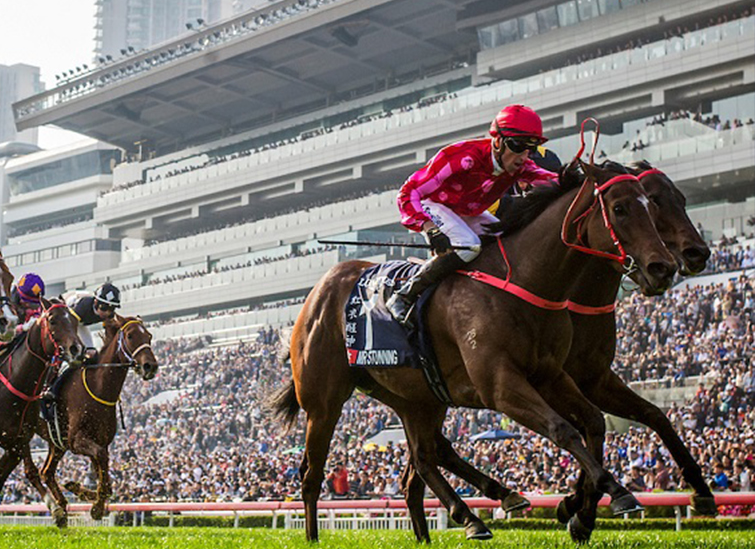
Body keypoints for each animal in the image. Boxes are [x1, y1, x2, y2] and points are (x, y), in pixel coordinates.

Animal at [0, 298, 81, 519]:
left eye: (75, 321)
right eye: (52, 320)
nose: (76, 349)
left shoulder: (18, 441)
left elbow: (29, 471)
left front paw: (57, 510)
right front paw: (57, 509)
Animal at [38, 315, 158, 526]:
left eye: (149, 336)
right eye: (130, 335)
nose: (150, 366)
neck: (98, 387)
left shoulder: (98, 441)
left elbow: (105, 477)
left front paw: (84, 493)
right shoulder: (77, 441)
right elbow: (102, 462)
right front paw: (95, 506)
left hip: (56, 444)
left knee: (46, 472)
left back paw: (61, 506)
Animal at [272, 160, 677, 542]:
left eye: (651, 204)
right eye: (621, 208)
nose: (664, 267)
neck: (524, 281)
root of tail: (317, 292)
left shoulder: (550, 375)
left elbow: (591, 421)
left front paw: (586, 504)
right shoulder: (501, 385)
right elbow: (562, 429)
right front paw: (612, 491)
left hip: (416, 397)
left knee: (424, 459)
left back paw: (470, 515)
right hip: (324, 402)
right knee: (313, 471)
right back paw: (314, 536)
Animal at [395, 161, 714, 542]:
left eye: (678, 198)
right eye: (646, 203)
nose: (693, 255)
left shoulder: (592, 377)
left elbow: (647, 416)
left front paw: (700, 491)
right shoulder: (544, 379)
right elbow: (578, 428)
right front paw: (581, 508)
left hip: (428, 396)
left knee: (422, 461)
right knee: (425, 456)